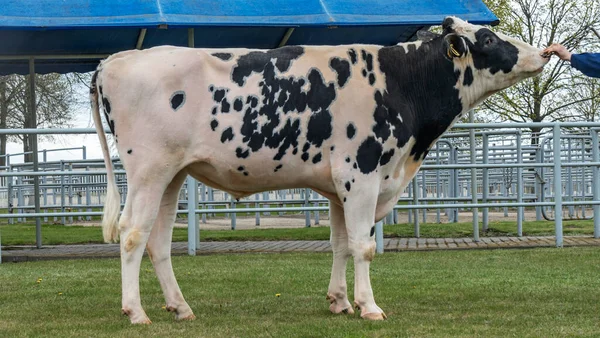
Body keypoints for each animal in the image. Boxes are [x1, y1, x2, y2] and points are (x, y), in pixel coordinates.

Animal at [90, 17, 548, 324]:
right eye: (488, 38)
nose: (543, 53)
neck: (399, 82)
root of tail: (117, 59)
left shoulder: (338, 187)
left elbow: (341, 245)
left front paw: (341, 301)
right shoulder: (361, 175)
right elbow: (364, 246)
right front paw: (370, 307)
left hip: (173, 174)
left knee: (158, 241)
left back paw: (180, 307)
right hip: (148, 169)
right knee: (132, 233)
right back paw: (136, 312)